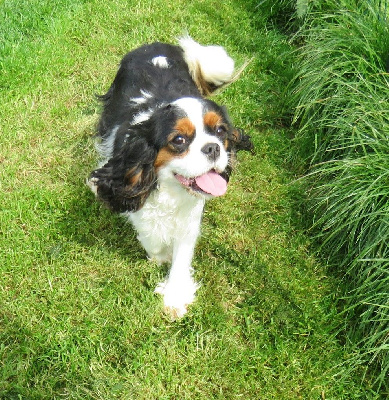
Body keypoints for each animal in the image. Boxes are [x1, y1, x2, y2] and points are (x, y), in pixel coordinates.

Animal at [87, 37, 252, 318]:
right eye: (179, 140)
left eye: (220, 131)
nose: (213, 148)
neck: (170, 190)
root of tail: (155, 44)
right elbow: (149, 233)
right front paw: (160, 255)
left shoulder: (190, 216)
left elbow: (182, 253)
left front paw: (174, 295)